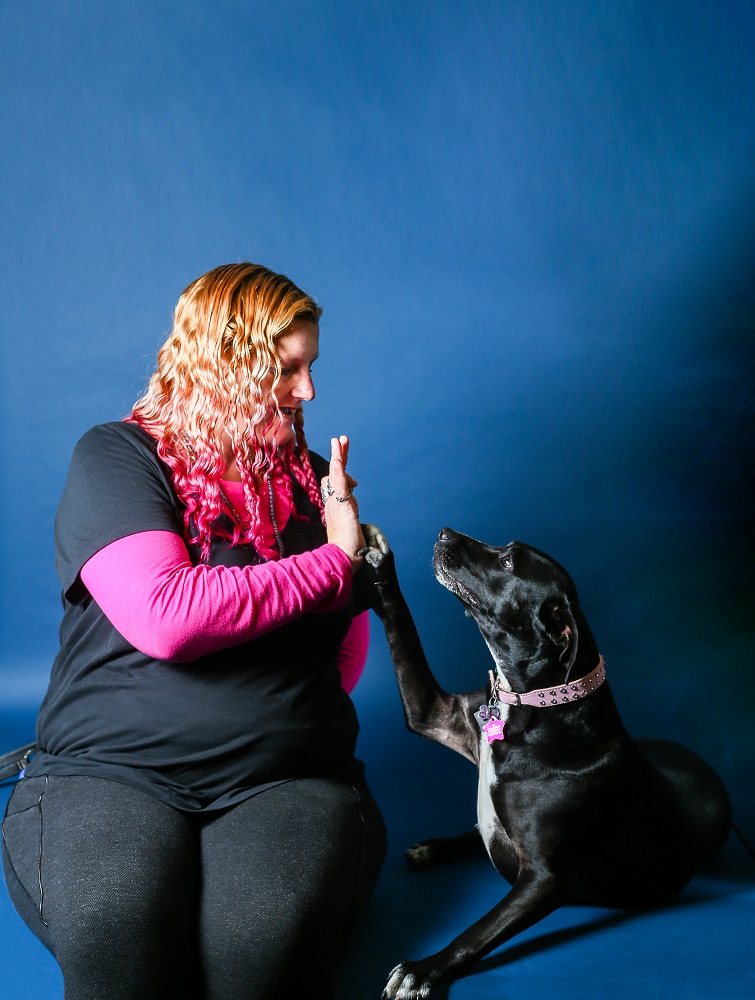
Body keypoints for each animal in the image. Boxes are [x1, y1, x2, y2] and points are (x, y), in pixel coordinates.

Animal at [364, 528, 736, 996]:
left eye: (507, 562)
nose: (445, 533)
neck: (533, 703)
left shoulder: (545, 881)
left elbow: (477, 932)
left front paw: (425, 968)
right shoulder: (432, 713)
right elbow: (404, 635)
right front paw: (380, 566)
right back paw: (434, 848)